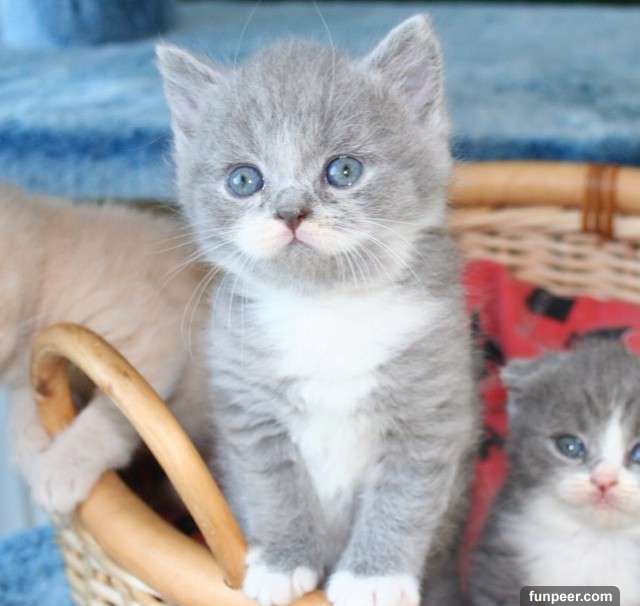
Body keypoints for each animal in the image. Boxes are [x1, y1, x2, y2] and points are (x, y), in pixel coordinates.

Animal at [157, 14, 479, 606]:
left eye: (343, 170)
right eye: (244, 180)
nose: (290, 211)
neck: (326, 312)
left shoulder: (432, 404)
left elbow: (404, 496)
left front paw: (374, 577)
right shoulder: (249, 408)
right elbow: (273, 487)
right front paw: (283, 560)